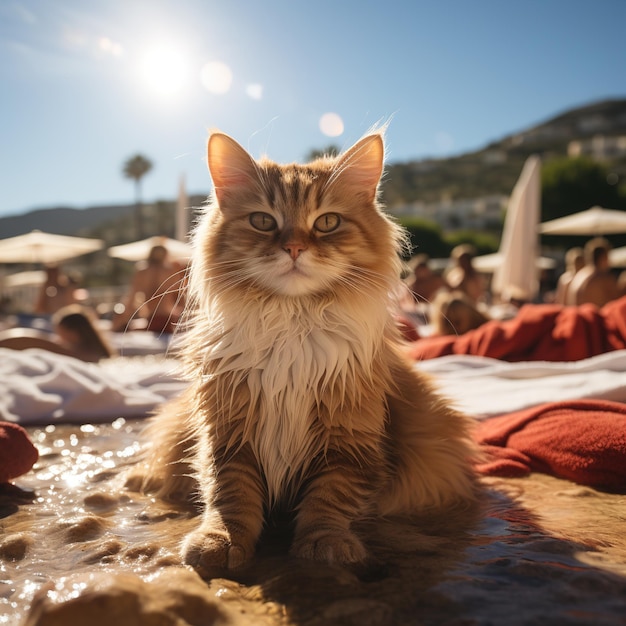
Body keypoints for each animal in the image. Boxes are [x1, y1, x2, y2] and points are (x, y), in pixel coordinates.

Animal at [135, 129, 478, 568]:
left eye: (327, 222)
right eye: (263, 221)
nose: (295, 248)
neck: (291, 324)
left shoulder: (347, 439)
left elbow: (329, 499)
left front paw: (324, 545)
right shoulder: (229, 433)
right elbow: (230, 497)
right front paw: (221, 541)